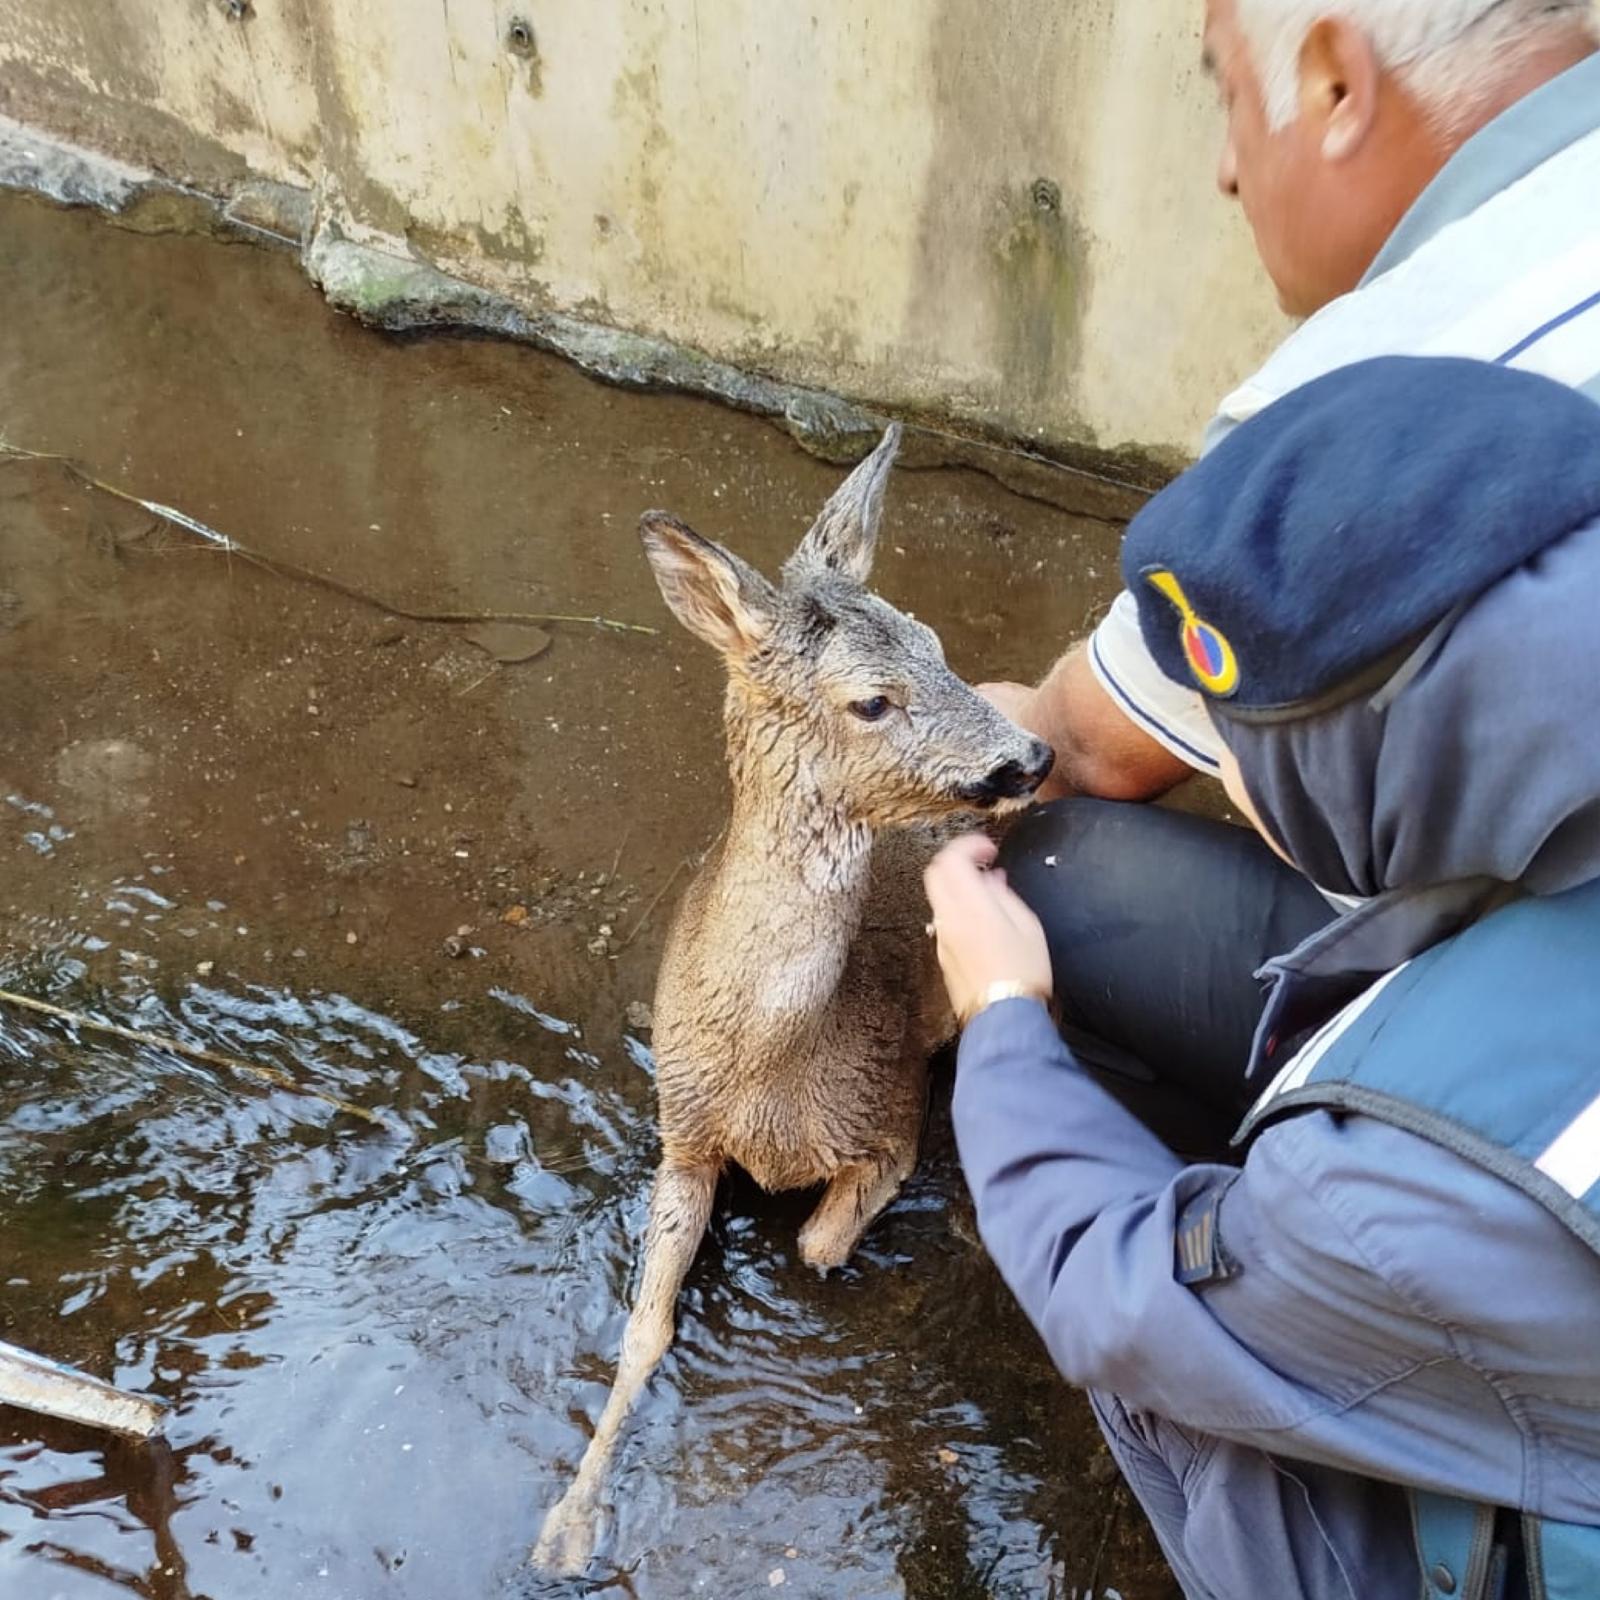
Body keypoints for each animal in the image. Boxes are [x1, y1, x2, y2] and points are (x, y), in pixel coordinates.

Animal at [537, 425, 1056, 1574]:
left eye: (936, 642)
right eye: (871, 698)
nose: (1030, 756)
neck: (771, 1074)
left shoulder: (892, 1114)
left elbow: (818, 1245)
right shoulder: (681, 1130)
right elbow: (642, 1327)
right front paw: (567, 1528)